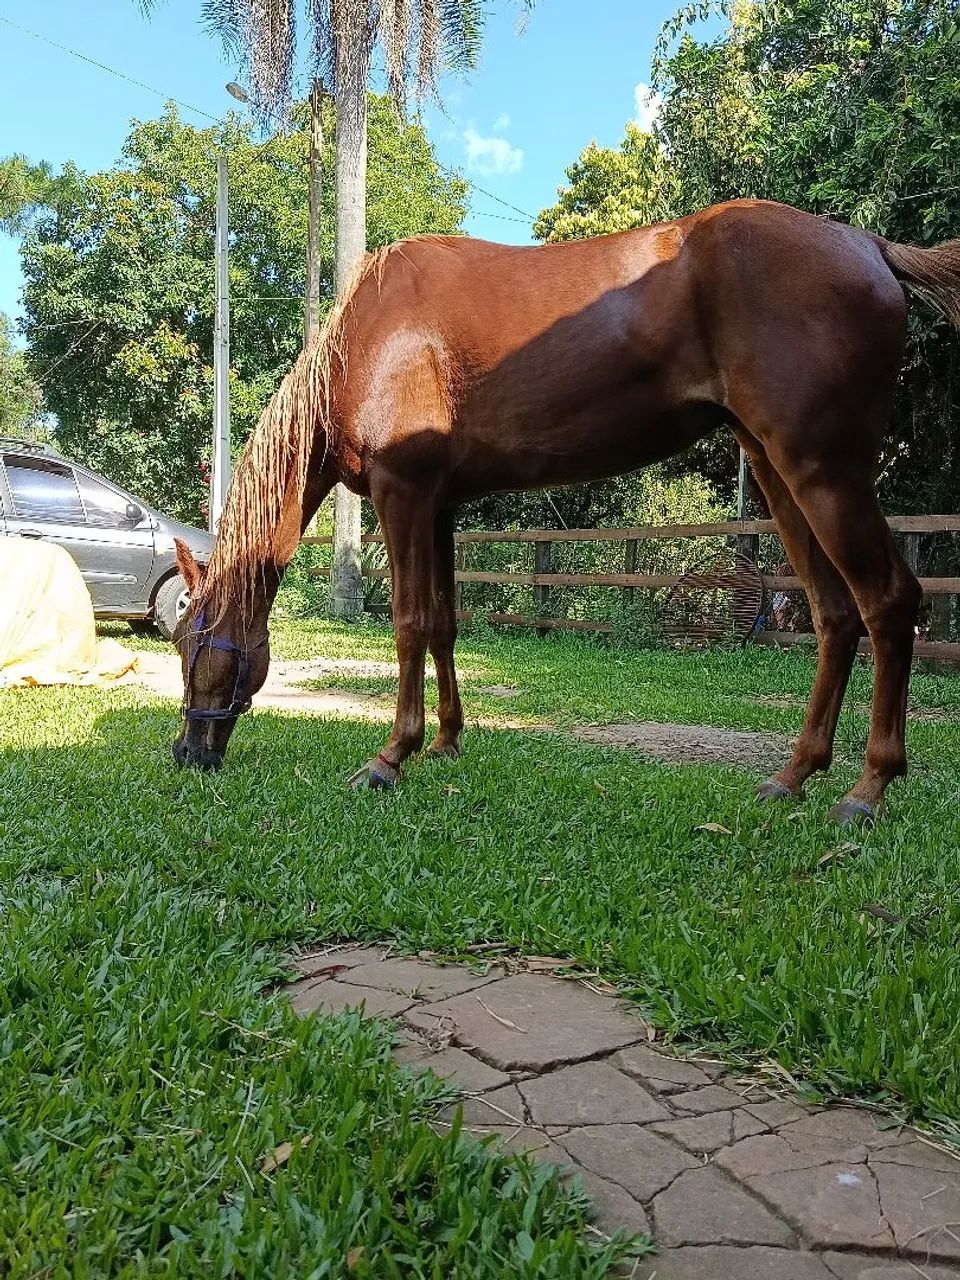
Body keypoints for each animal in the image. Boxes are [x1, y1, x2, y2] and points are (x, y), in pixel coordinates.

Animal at [172, 198, 960, 823]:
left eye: (189, 644)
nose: (187, 752)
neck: (366, 339)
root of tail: (868, 246)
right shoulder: (442, 508)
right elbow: (446, 625)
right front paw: (448, 742)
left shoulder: (405, 496)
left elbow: (410, 624)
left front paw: (391, 757)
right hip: (776, 474)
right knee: (835, 616)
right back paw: (794, 776)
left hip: (822, 473)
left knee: (890, 602)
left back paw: (867, 789)